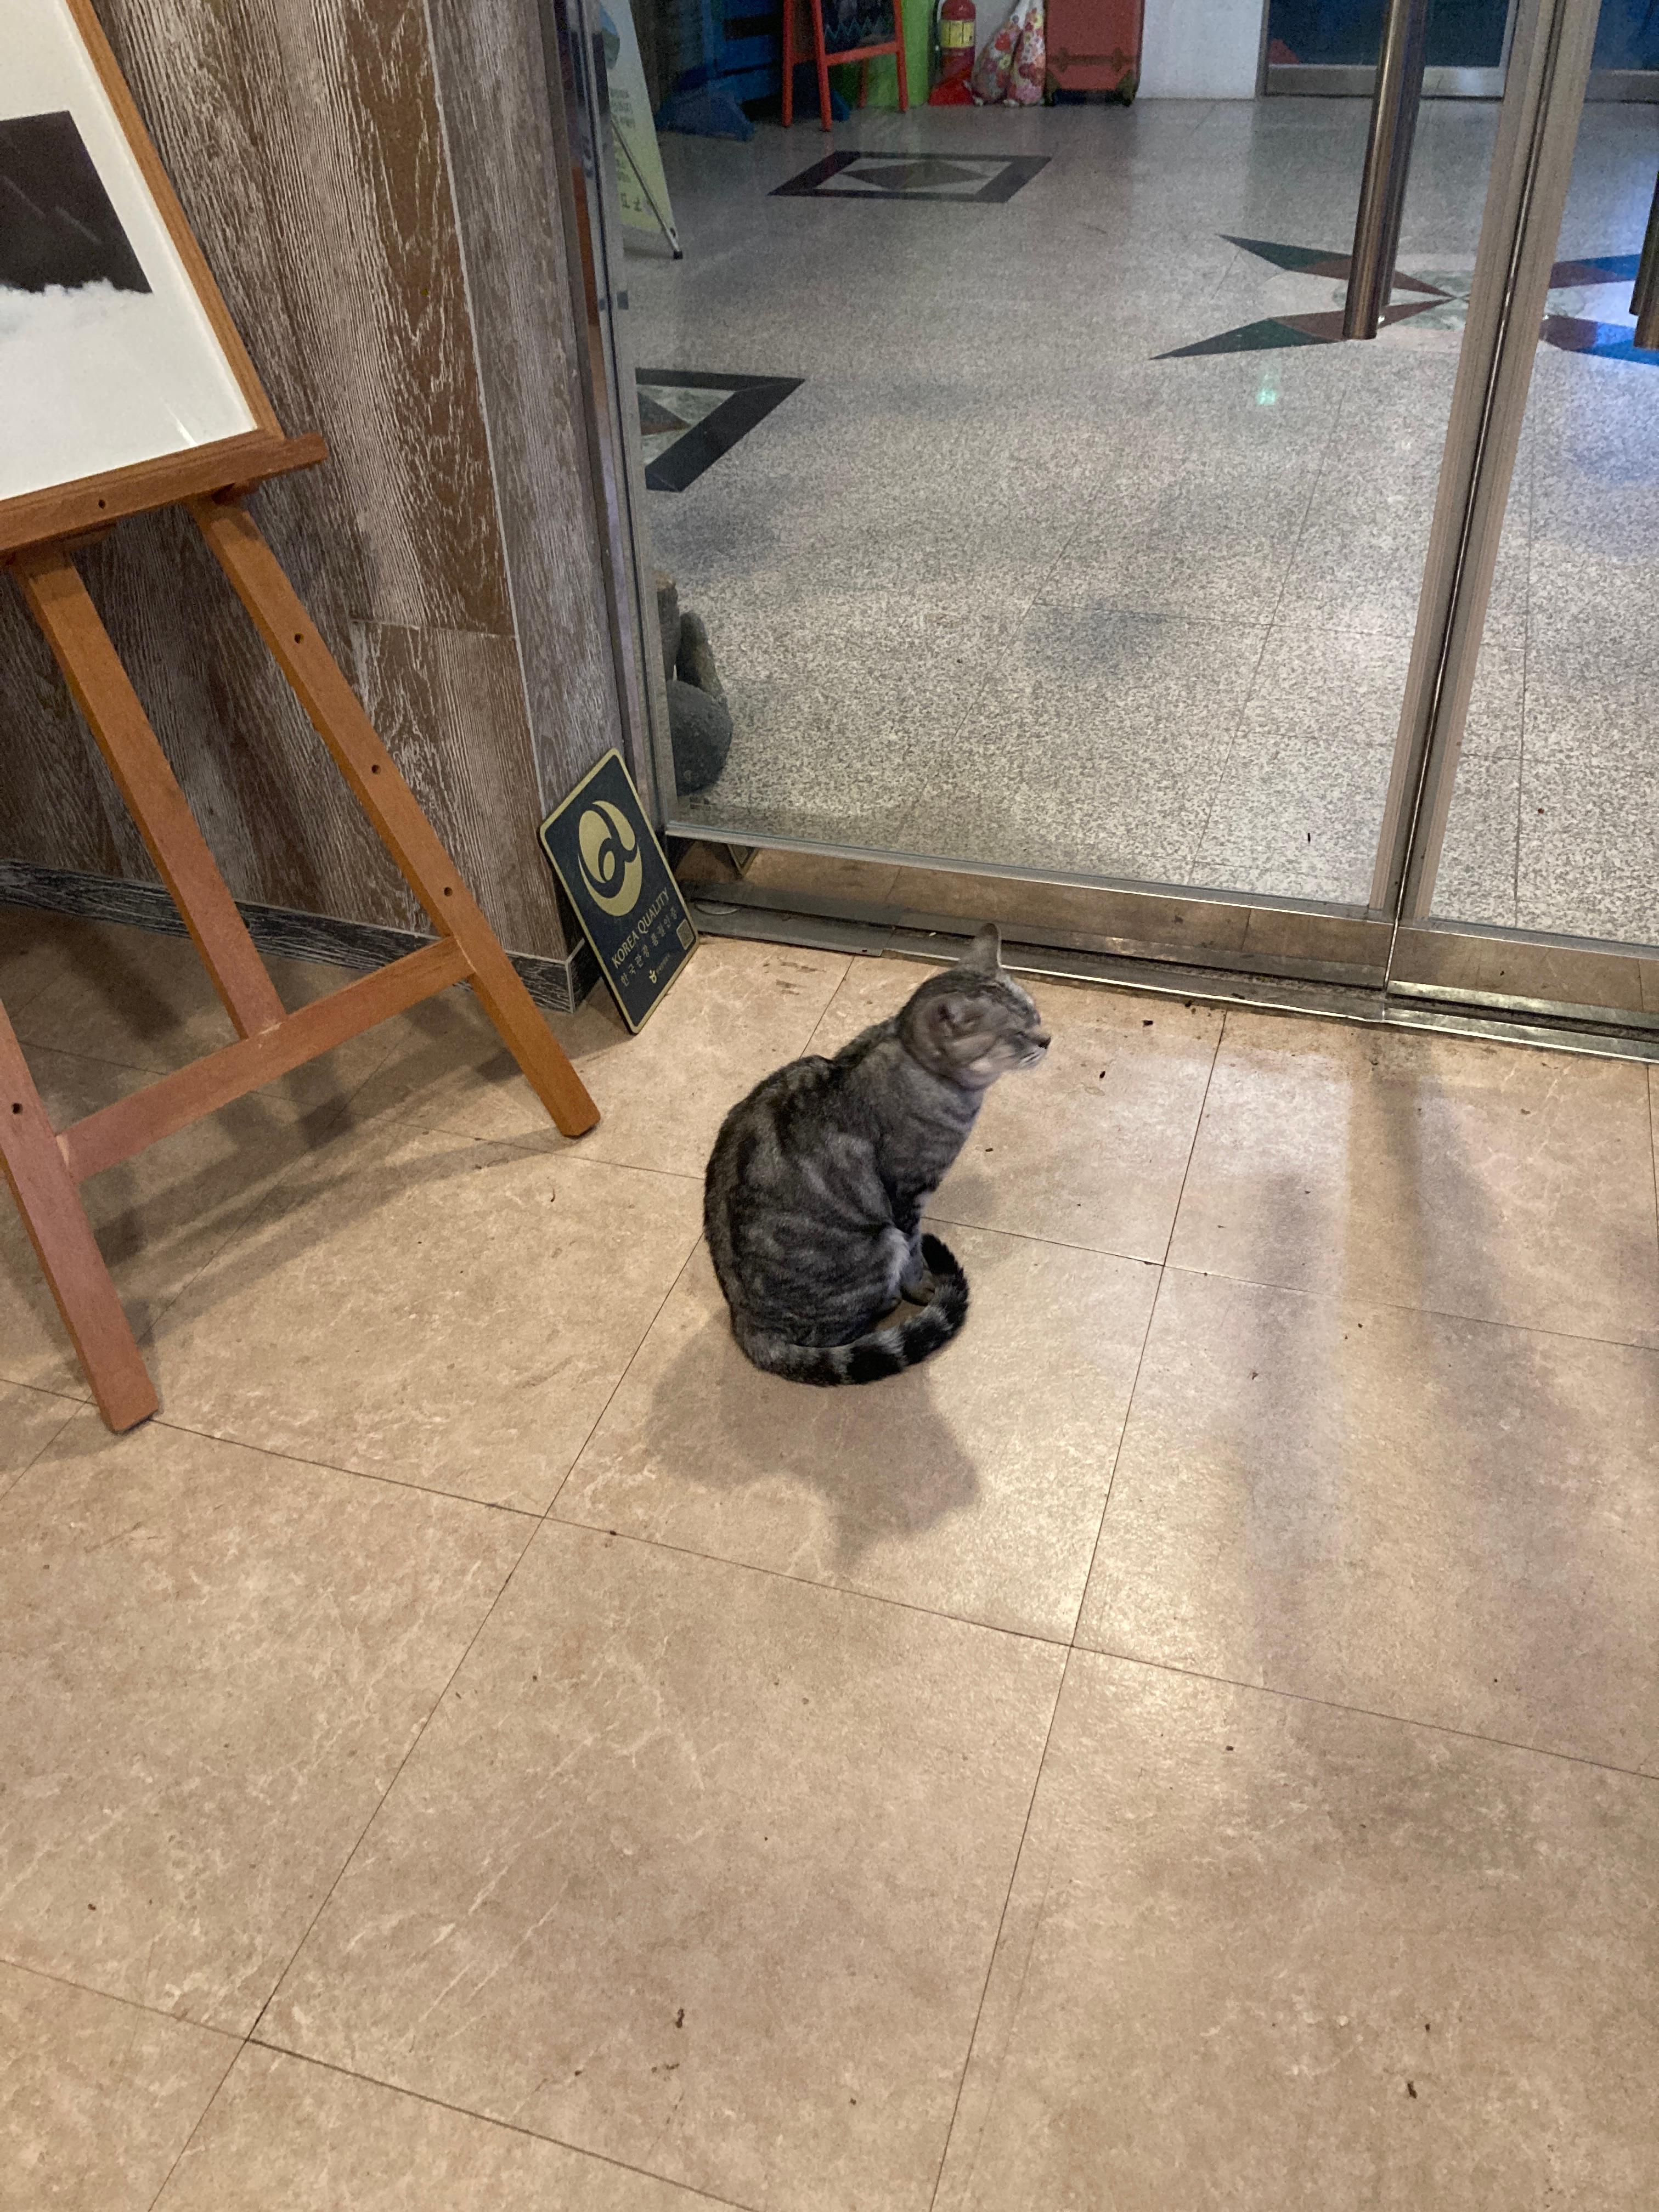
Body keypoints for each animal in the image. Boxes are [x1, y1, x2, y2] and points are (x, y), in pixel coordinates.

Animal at [704, 924, 1049, 1386]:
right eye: (1018, 1034)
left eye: (1037, 1015)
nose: (1048, 1040)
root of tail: (746, 1325)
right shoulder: (908, 1194)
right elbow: (916, 1253)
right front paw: (923, 1288)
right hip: (877, 1244)